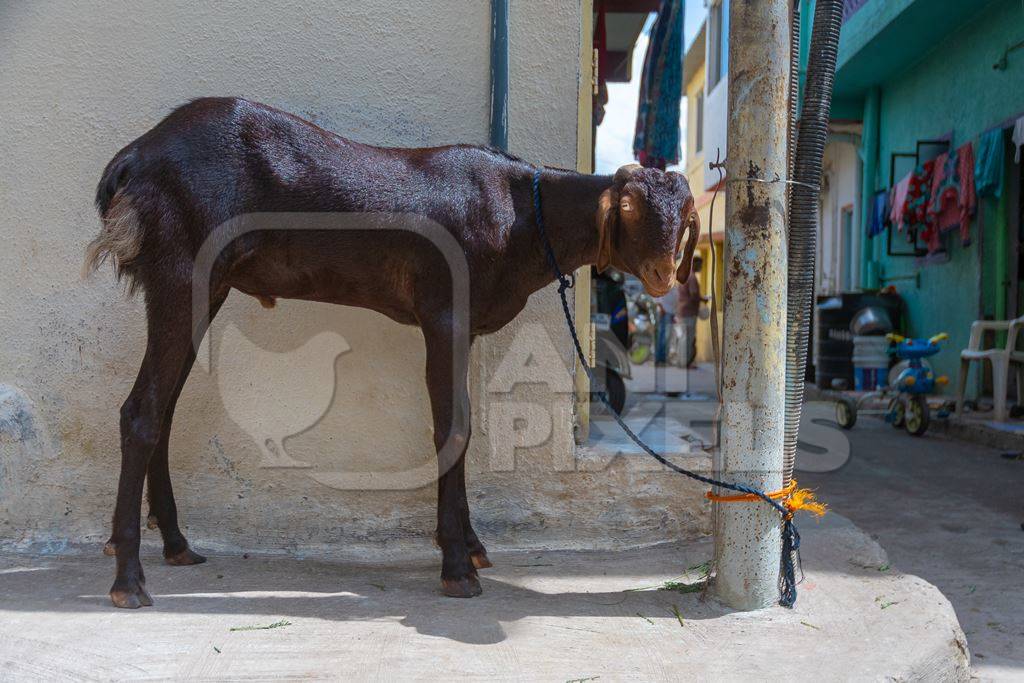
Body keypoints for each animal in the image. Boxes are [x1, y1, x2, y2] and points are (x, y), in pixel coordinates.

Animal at [83, 97, 700, 610]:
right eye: (629, 208)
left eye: (685, 218)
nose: (662, 273)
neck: (522, 214)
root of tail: (133, 160)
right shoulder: (444, 311)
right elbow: (454, 428)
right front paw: (456, 567)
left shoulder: (464, 326)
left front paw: (472, 545)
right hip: (180, 268)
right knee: (140, 413)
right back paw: (129, 580)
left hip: (204, 288)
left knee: (163, 410)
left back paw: (173, 543)